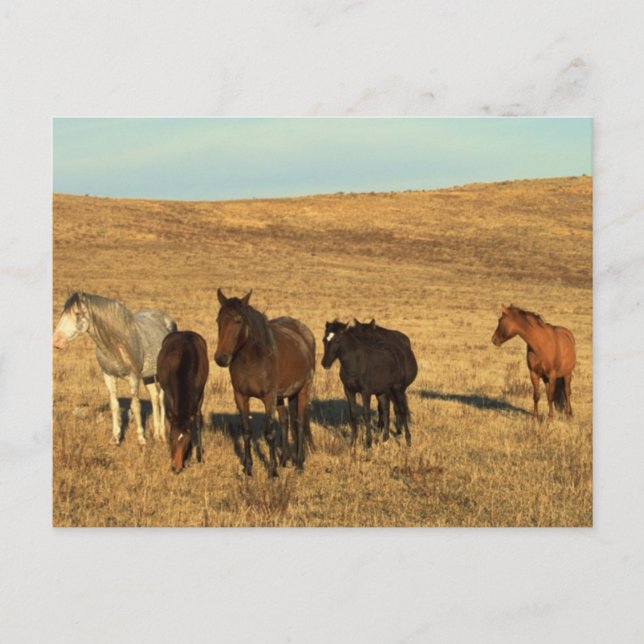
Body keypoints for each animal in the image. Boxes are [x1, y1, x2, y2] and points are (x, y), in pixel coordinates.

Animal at [53, 292, 177, 445]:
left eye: (77, 313)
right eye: (63, 313)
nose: (56, 341)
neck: (117, 343)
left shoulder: (133, 378)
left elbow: (135, 406)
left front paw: (141, 438)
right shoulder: (108, 376)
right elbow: (114, 405)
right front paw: (115, 437)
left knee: (161, 398)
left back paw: (163, 435)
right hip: (148, 376)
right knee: (154, 397)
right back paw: (156, 434)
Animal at [157, 331, 209, 474]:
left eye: (187, 440)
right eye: (171, 438)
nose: (176, 467)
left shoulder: (199, 394)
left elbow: (197, 419)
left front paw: (197, 457)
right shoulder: (169, 394)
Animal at [213, 289, 315, 477]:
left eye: (238, 320)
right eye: (219, 320)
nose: (221, 358)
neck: (253, 360)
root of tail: (305, 334)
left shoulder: (269, 397)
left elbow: (269, 433)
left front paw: (273, 471)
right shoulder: (241, 396)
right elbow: (246, 431)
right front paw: (248, 468)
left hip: (303, 389)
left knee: (298, 422)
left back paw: (299, 463)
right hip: (283, 395)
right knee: (285, 420)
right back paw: (284, 461)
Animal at [321, 319, 418, 447]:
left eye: (337, 340)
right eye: (324, 340)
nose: (325, 363)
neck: (356, 363)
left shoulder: (365, 392)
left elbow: (366, 414)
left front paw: (368, 442)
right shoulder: (348, 391)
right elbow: (353, 414)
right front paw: (353, 441)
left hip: (398, 389)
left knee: (401, 410)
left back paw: (407, 439)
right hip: (383, 391)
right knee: (386, 409)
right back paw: (385, 438)